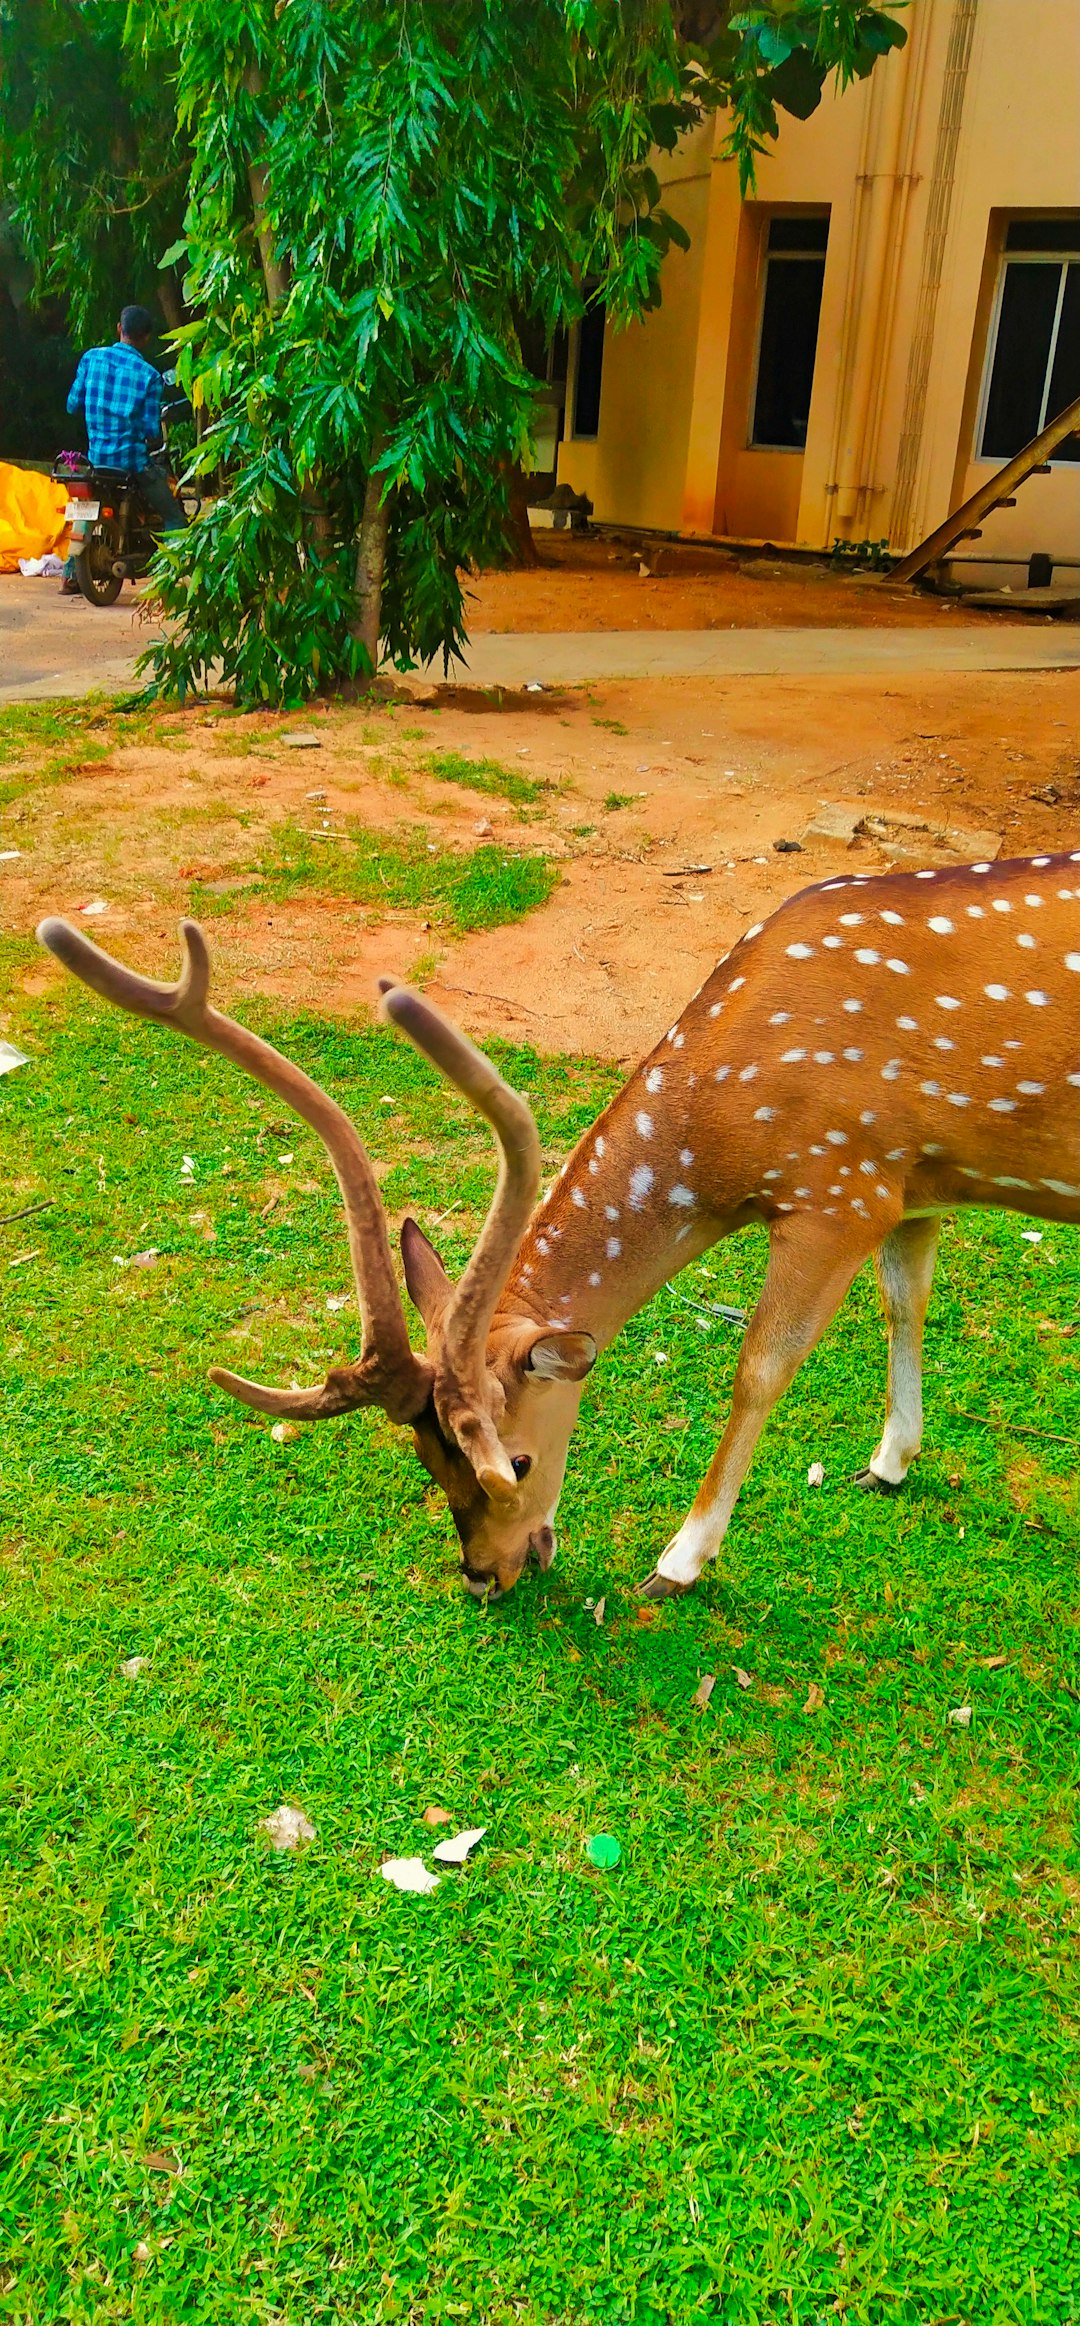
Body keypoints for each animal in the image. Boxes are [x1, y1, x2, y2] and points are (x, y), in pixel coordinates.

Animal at [37, 851, 1080, 1600]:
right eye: (426, 1460)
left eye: (515, 1460)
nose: (483, 1576)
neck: (730, 1127)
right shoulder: (913, 1182)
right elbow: (908, 1303)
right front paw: (890, 1463)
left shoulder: (838, 1187)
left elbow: (759, 1368)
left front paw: (680, 1559)